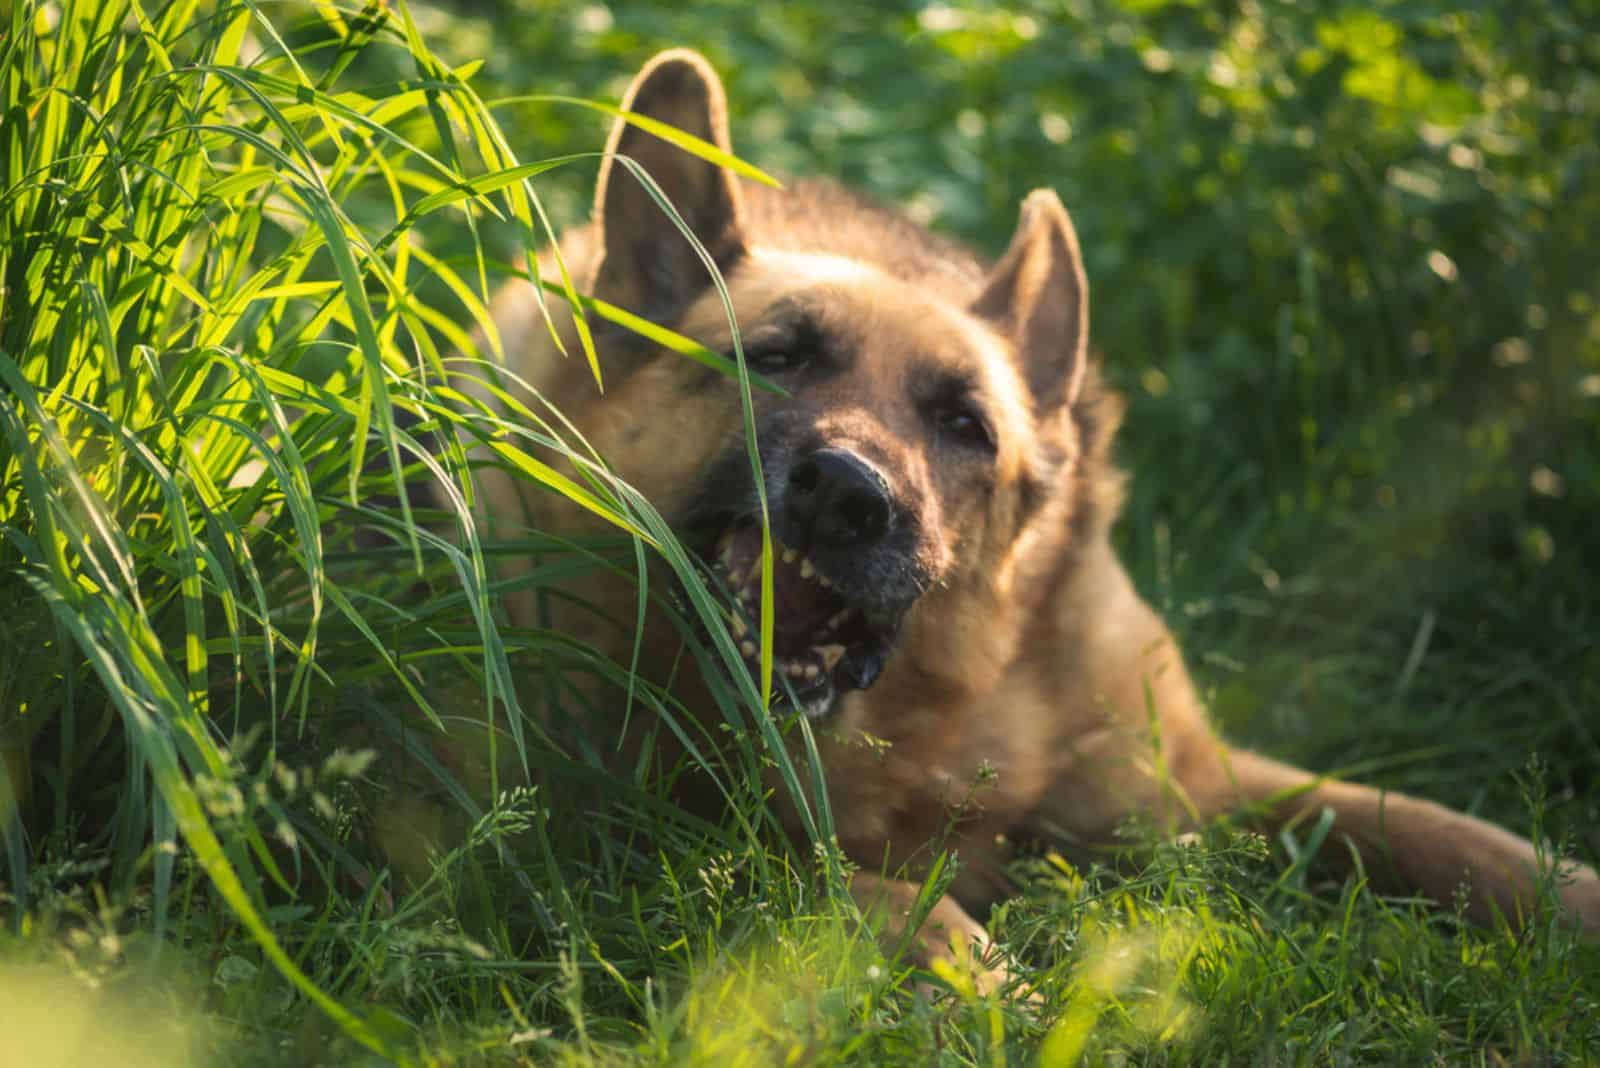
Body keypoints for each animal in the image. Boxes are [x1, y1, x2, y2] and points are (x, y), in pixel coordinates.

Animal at [470, 47, 1600, 984]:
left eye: (964, 424)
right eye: (776, 356)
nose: (846, 493)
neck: (941, 713)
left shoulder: (1210, 787)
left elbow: (1450, 834)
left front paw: (1569, 895)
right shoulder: (641, 835)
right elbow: (849, 881)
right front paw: (972, 973)